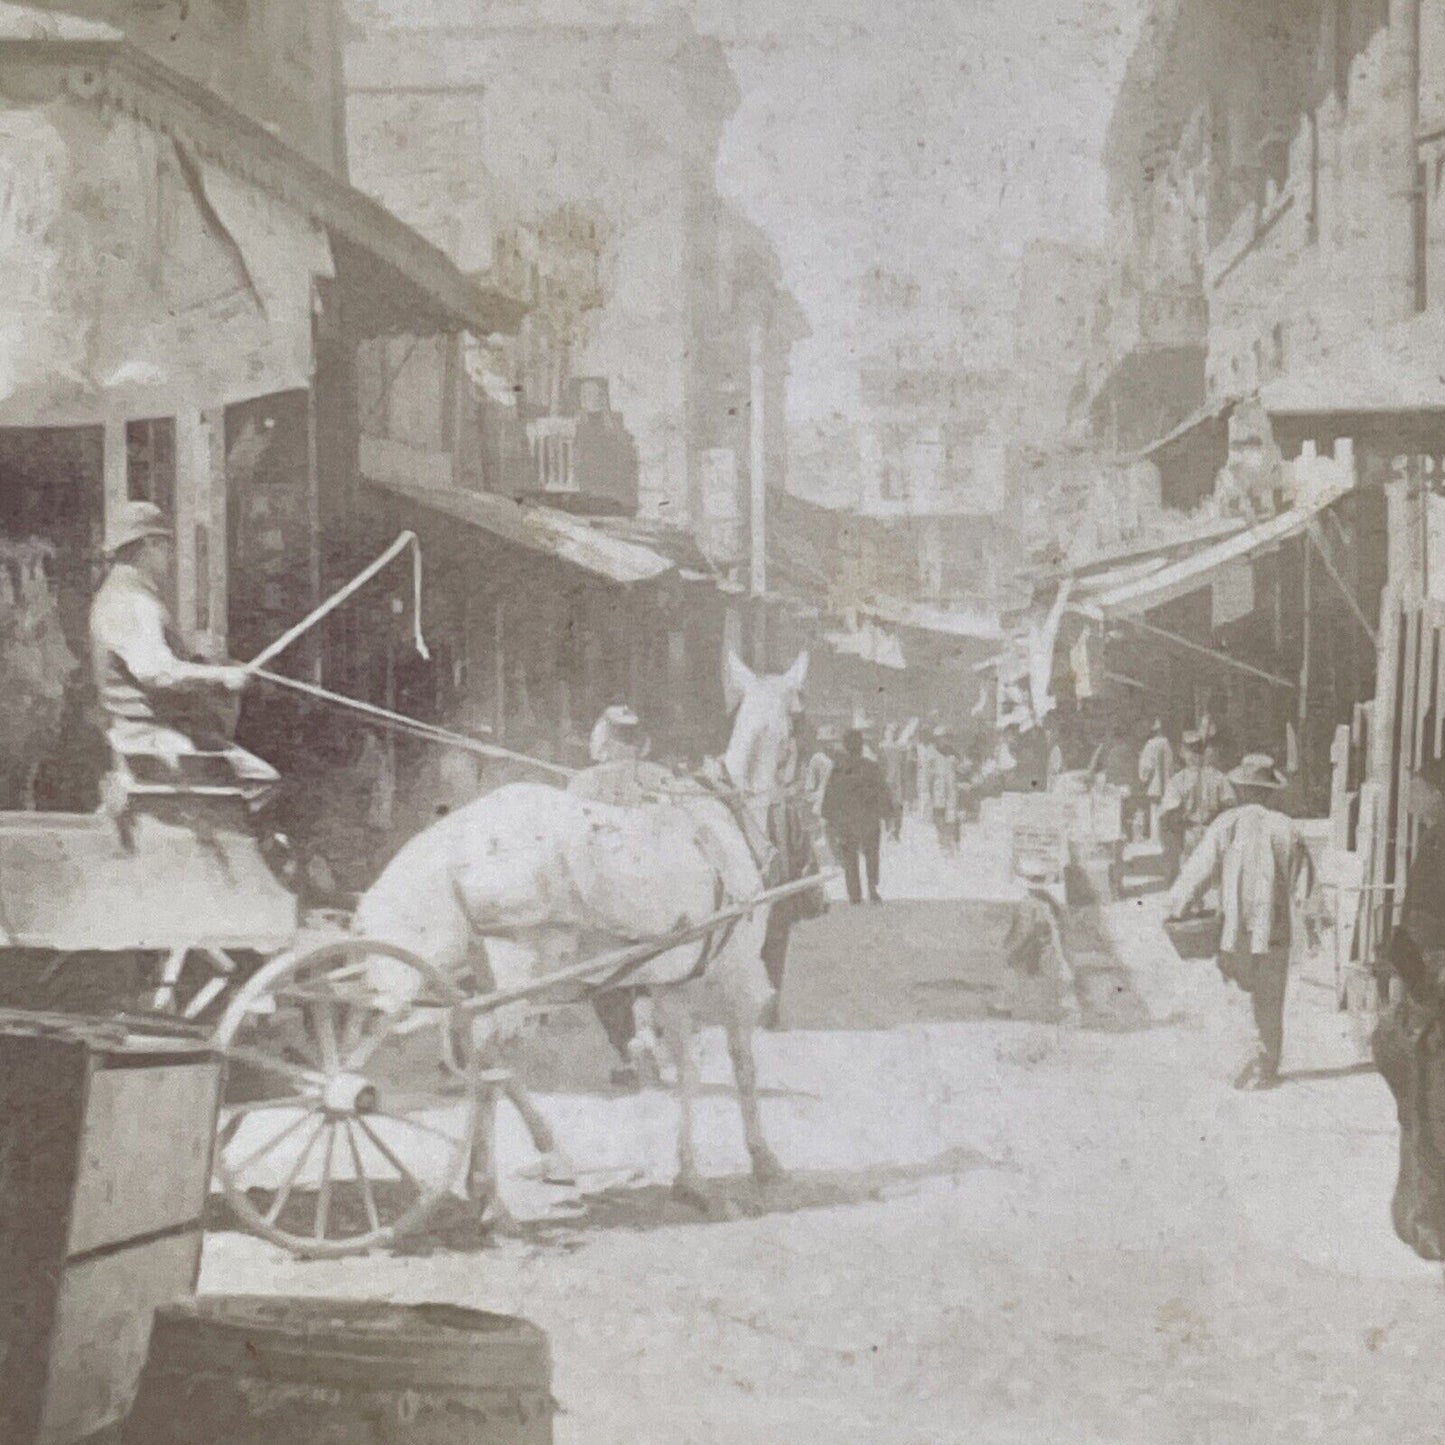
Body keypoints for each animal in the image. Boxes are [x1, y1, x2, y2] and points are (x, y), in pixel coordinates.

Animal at [348, 650, 809, 1202]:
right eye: (802, 716)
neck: (720, 817)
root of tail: (446, 843)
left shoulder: (676, 980)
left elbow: (689, 1070)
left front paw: (689, 1173)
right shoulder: (735, 974)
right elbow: (742, 1065)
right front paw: (762, 1157)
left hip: (462, 973)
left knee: (449, 1050)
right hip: (514, 970)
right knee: (488, 1057)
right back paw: (490, 1185)